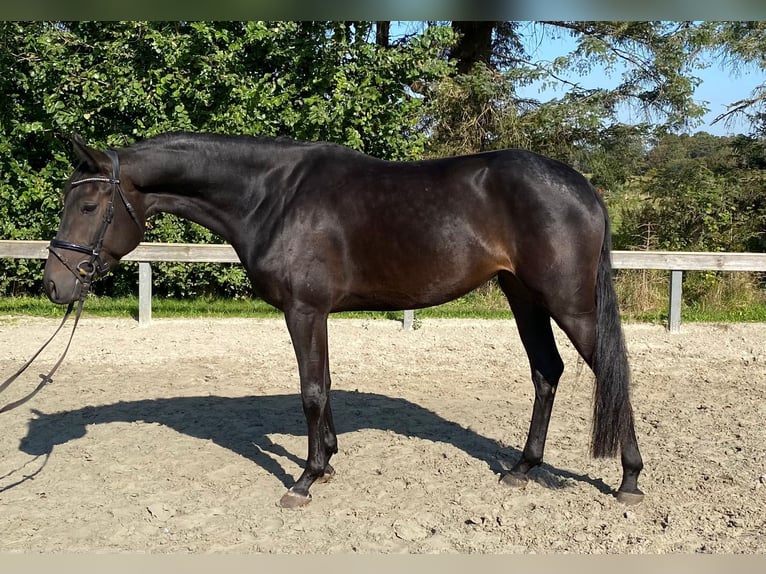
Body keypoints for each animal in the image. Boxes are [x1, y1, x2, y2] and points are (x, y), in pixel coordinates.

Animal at [40, 134, 640, 508]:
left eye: (88, 207)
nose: (55, 285)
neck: (271, 195)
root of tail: (582, 188)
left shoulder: (304, 310)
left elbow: (309, 390)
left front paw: (303, 480)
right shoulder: (316, 313)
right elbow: (323, 386)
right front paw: (326, 462)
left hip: (568, 304)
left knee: (611, 374)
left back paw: (629, 479)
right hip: (523, 296)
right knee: (546, 371)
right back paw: (521, 469)